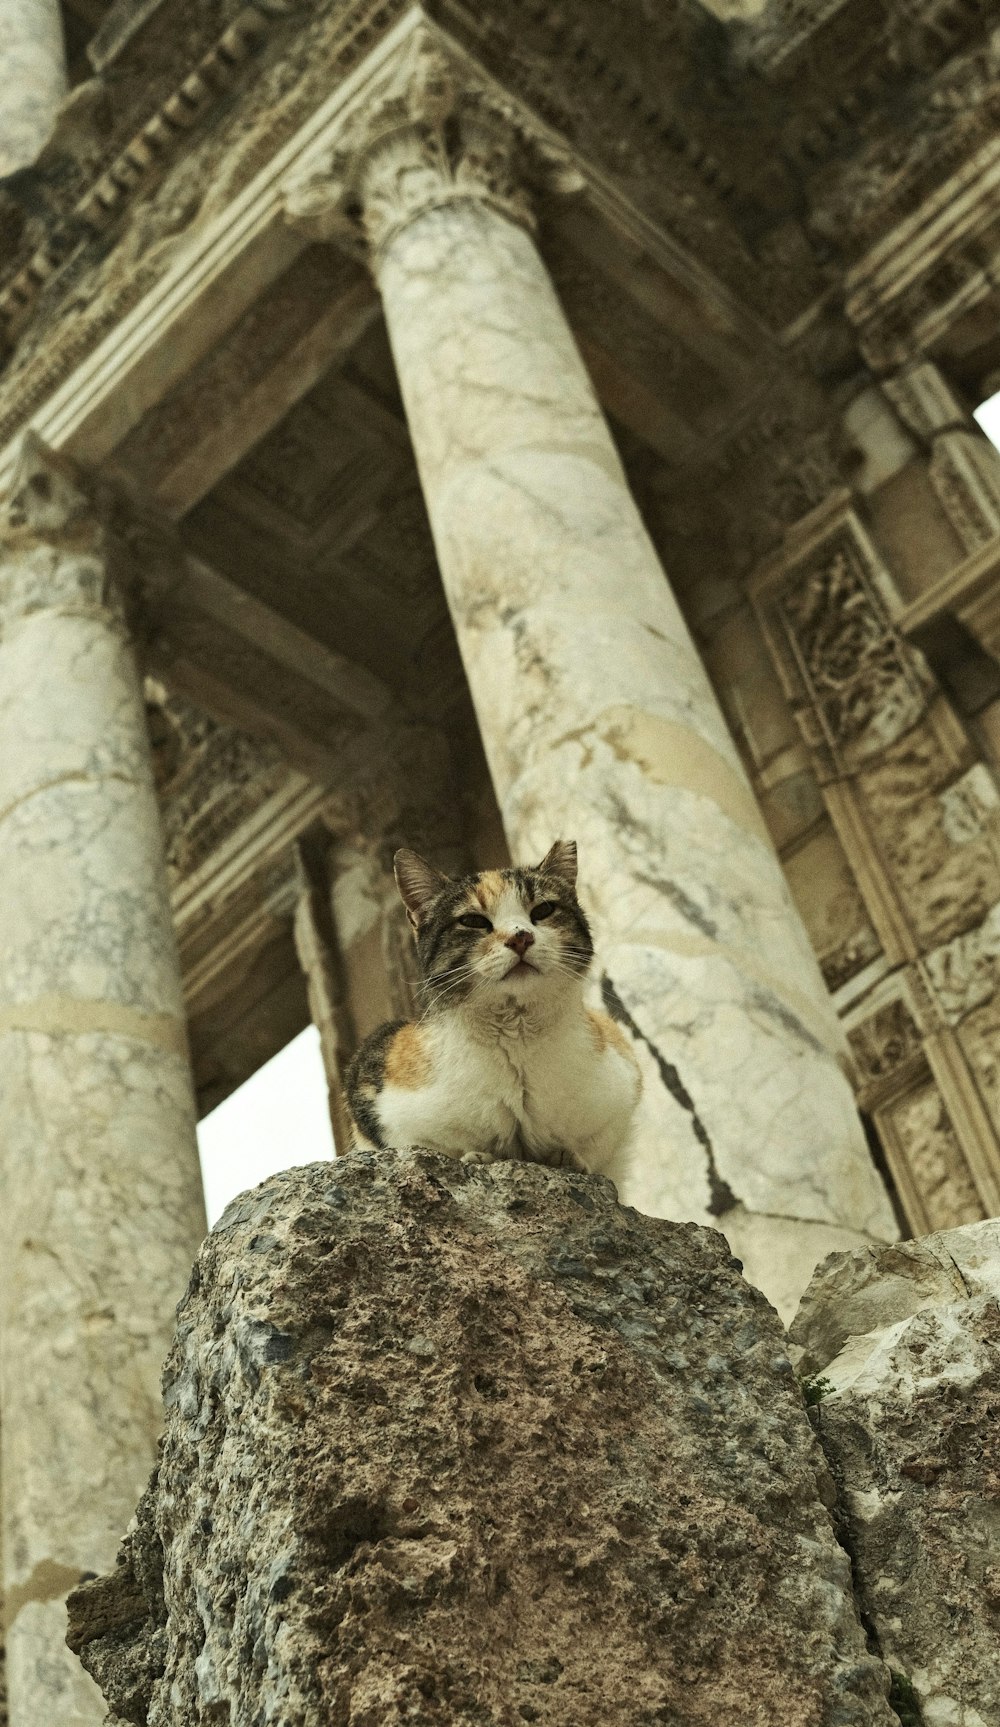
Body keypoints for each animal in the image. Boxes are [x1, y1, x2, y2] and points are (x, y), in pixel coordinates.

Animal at [343, 842, 642, 1195]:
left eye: (543, 910)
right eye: (472, 920)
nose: (520, 937)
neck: (516, 1037)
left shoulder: (623, 1086)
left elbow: (597, 1150)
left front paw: (569, 1159)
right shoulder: (377, 1095)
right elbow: (434, 1146)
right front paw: (478, 1156)